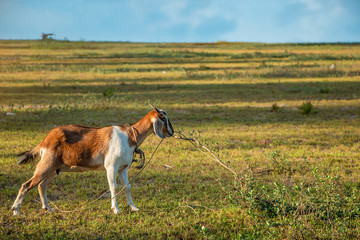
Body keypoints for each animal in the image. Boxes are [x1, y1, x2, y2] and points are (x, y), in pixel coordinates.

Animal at [11, 105, 174, 216]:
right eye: (164, 118)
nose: (172, 133)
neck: (129, 135)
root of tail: (46, 140)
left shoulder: (123, 168)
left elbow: (127, 187)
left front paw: (133, 207)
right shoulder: (111, 167)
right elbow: (114, 188)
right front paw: (116, 210)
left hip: (53, 169)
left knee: (41, 185)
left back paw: (48, 208)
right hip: (46, 165)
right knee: (26, 185)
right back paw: (16, 211)